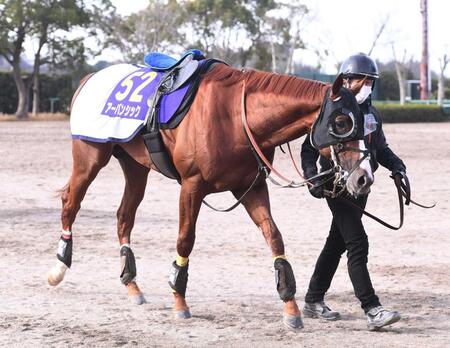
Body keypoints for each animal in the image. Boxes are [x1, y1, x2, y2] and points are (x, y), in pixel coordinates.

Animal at [48, 63, 372, 328]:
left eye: (363, 122)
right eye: (341, 123)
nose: (363, 177)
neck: (234, 118)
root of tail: (90, 77)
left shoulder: (251, 187)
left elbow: (274, 237)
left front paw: (290, 305)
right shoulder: (191, 186)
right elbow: (185, 239)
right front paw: (179, 299)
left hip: (135, 167)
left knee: (124, 217)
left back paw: (132, 285)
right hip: (89, 158)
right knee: (71, 203)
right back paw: (58, 268)